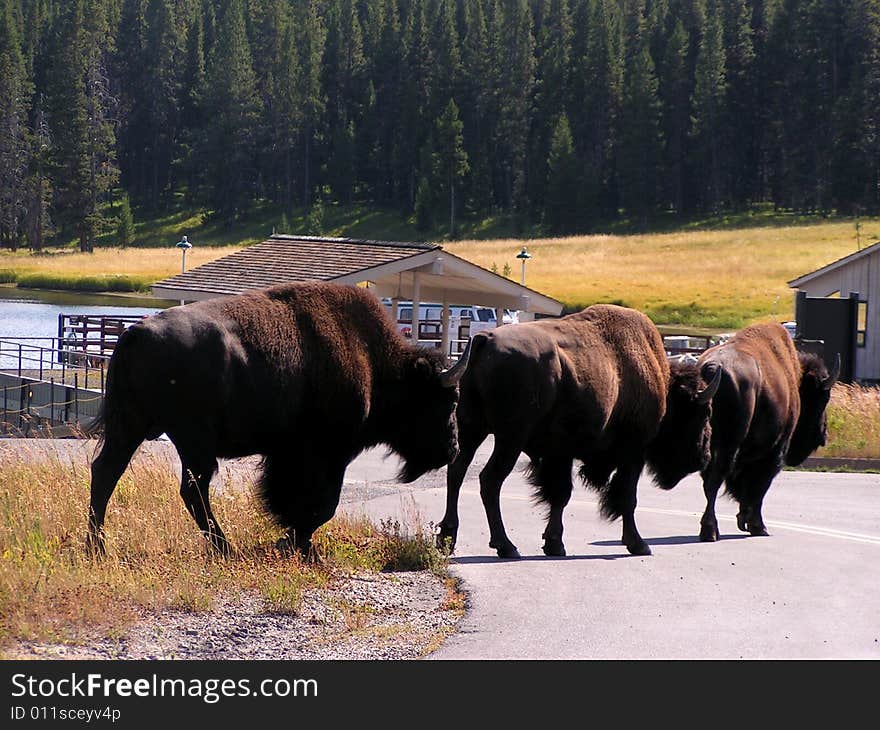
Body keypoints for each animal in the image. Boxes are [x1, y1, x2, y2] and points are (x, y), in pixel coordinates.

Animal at [88, 282, 470, 556]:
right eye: (449, 400)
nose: (452, 448)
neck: (375, 364)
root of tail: (132, 336)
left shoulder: (289, 454)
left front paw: (294, 540)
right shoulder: (327, 454)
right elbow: (321, 505)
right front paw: (296, 542)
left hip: (133, 427)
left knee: (107, 473)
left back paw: (98, 548)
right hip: (190, 439)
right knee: (191, 488)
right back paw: (224, 549)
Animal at [436, 302, 720, 556]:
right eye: (704, 413)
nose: (704, 457)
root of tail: (484, 339)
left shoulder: (560, 453)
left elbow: (560, 494)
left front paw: (554, 544)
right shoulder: (633, 452)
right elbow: (627, 497)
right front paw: (638, 544)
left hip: (471, 429)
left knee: (457, 471)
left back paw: (447, 538)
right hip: (509, 439)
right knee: (490, 480)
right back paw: (506, 546)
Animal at [688, 320, 840, 540]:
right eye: (823, 399)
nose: (823, 435)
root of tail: (711, 368)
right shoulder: (775, 450)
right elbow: (759, 487)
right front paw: (758, 526)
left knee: (709, 481)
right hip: (729, 444)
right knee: (715, 480)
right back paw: (710, 530)